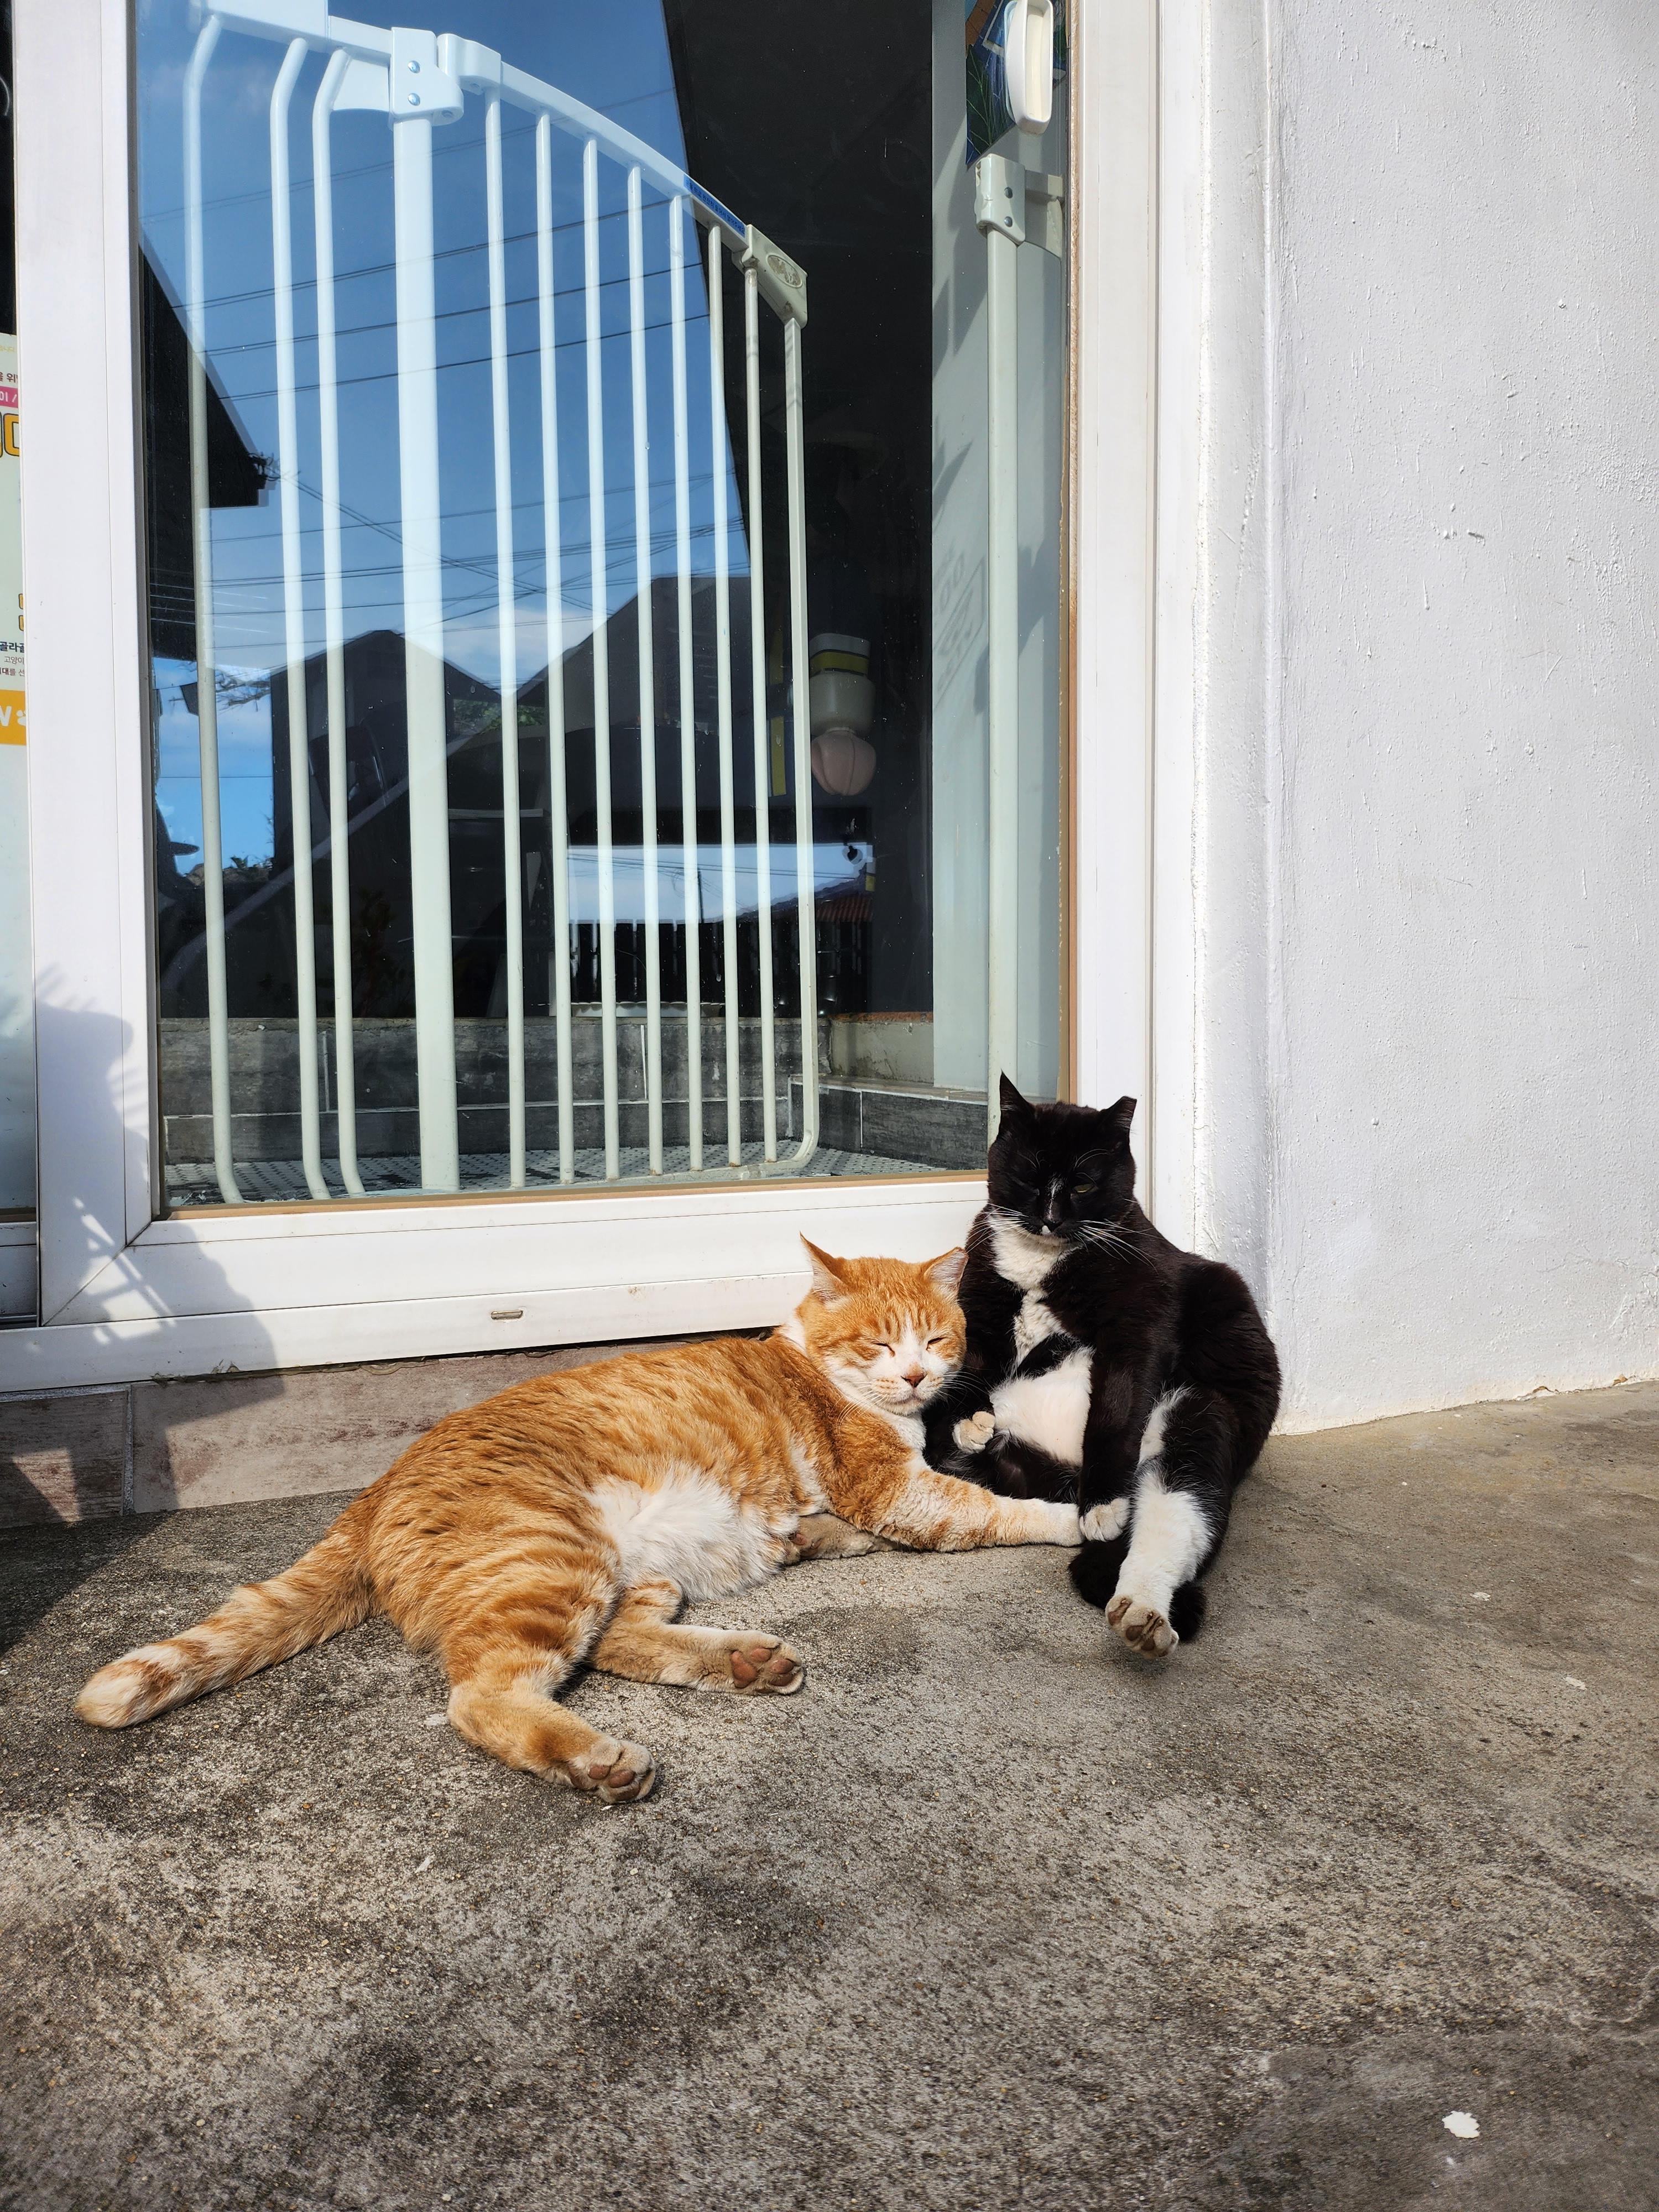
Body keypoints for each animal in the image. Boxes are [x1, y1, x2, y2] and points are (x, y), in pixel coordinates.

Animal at [77, 1240, 1079, 1804]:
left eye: (936, 1338)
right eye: (878, 1342)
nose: (913, 1376)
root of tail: (376, 1486)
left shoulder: (885, 1489)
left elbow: (945, 1468)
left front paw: (972, 1425)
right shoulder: (889, 1491)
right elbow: (988, 1510)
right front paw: (1077, 1514)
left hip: (639, 1571)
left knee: (618, 1643)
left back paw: (745, 1663)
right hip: (555, 1556)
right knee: (486, 1694)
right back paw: (596, 1762)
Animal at [923, 1079, 1280, 1658]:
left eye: (1085, 1184)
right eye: (1029, 1176)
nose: (1051, 1216)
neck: (1042, 1258)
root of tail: (1065, 1469)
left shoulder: (1139, 1326)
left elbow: (1114, 1411)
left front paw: (1105, 1500)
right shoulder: (981, 1303)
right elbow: (973, 1365)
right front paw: (968, 1418)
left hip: (1196, 1416)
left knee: (1173, 1523)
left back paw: (1141, 1612)